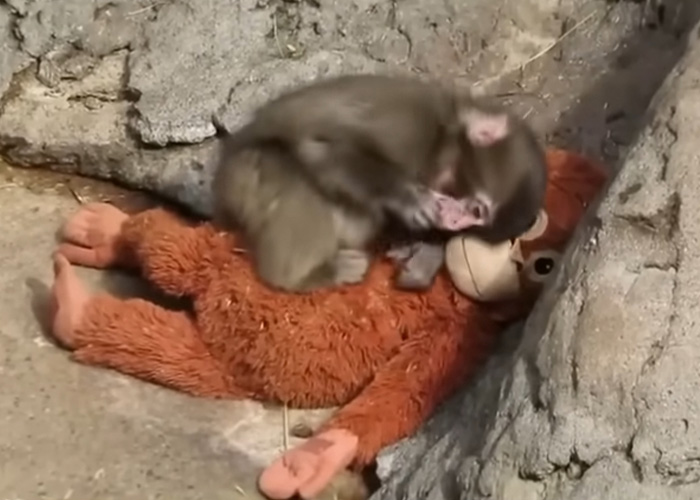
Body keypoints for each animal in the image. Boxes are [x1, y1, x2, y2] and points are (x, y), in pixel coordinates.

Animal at [213, 74, 547, 292]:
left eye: (475, 222)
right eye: (477, 210)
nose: (454, 222)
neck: (444, 136)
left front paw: (422, 253)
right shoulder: (410, 126)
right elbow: (322, 146)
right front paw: (407, 197)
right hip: (249, 173)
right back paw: (304, 275)